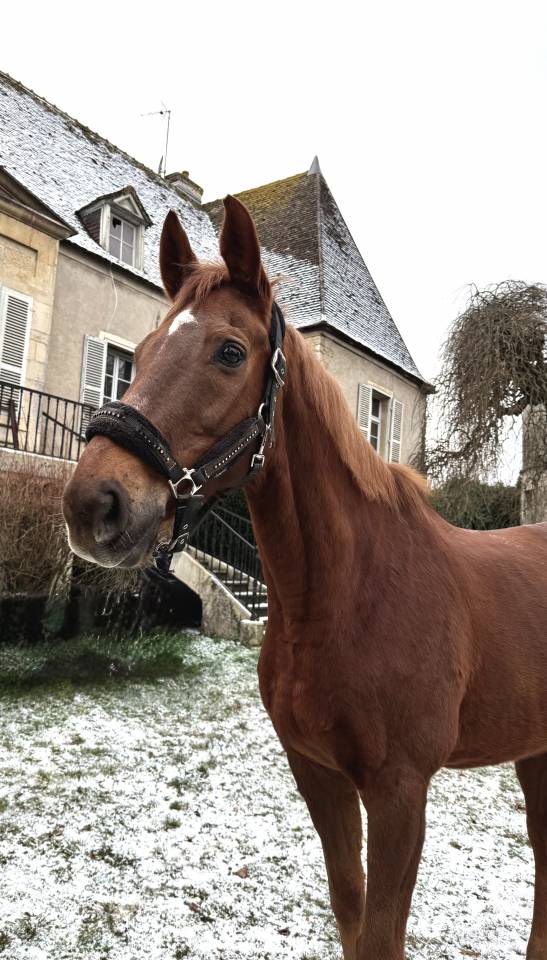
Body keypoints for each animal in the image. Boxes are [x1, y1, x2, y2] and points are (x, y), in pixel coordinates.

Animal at [62, 195, 547, 960]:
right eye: (140, 349)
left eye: (230, 352)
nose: (94, 505)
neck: (345, 597)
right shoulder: (317, 774)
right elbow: (351, 912)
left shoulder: (400, 792)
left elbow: (381, 931)